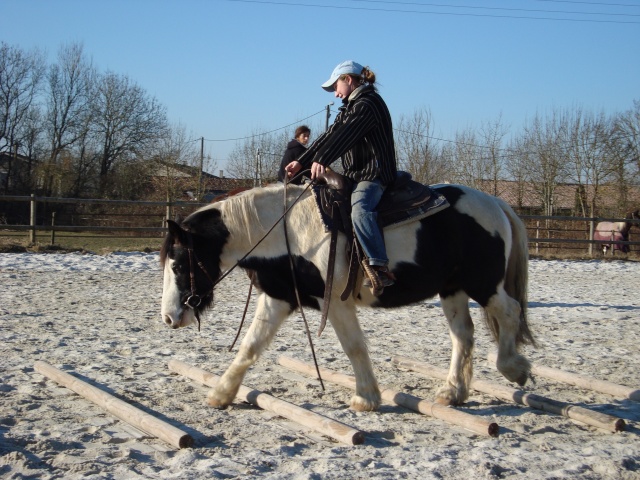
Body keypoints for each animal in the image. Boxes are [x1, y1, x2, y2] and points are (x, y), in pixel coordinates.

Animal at [161, 182, 536, 410]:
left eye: (178, 265)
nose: (169, 317)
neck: (287, 231)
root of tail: (496, 203)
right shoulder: (278, 297)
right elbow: (250, 346)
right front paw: (221, 393)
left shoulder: (336, 304)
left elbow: (354, 346)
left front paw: (366, 397)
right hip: (452, 288)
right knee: (463, 334)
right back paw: (453, 391)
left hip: (483, 284)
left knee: (509, 312)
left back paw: (513, 368)